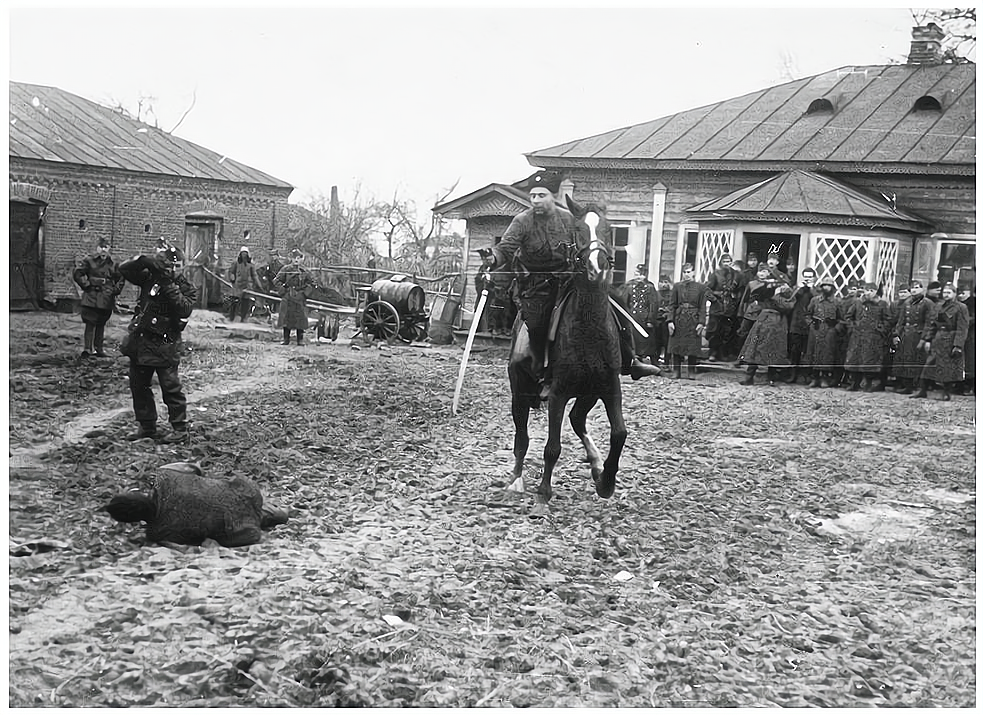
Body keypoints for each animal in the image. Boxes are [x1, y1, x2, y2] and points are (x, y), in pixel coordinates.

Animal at [504, 197, 628, 506]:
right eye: (578, 230)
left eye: (609, 230)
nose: (597, 266)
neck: (589, 328)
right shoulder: (558, 394)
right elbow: (552, 447)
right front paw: (544, 491)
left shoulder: (609, 387)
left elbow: (619, 433)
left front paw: (607, 482)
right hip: (520, 393)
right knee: (522, 437)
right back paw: (516, 479)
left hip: (588, 393)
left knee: (577, 420)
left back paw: (596, 464)